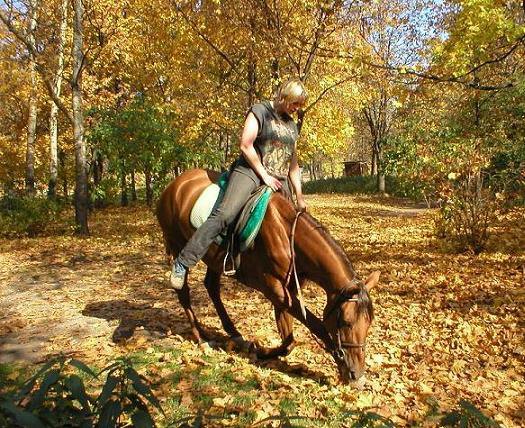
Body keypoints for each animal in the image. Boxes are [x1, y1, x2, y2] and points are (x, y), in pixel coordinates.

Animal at [155, 168, 376, 382]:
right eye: (346, 321)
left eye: (369, 323)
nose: (357, 374)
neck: (286, 233)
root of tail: (174, 186)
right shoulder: (274, 288)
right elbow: (316, 326)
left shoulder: (287, 289)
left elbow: (288, 338)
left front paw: (262, 350)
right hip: (177, 243)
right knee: (183, 290)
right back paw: (199, 336)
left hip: (215, 259)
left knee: (212, 287)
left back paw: (233, 334)